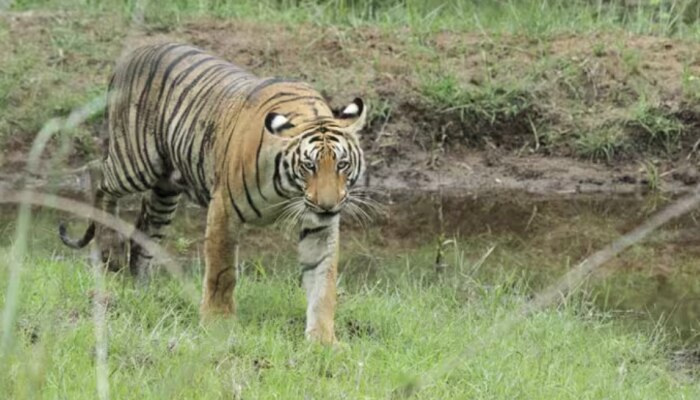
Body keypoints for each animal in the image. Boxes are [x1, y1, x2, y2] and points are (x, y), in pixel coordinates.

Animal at [57, 43, 370, 344]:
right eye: (309, 166)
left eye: (341, 164)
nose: (328, 206)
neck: (288, 190)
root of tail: (132, 52)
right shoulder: (225, 209)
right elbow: (222, 271)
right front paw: (218, 322)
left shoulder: (319, 226)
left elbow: (323, 282)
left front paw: (323, 340)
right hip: (135, 163)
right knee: (99, 178)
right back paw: (109, 252)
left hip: (165, 190)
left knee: (144, 232)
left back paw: (140, 287)